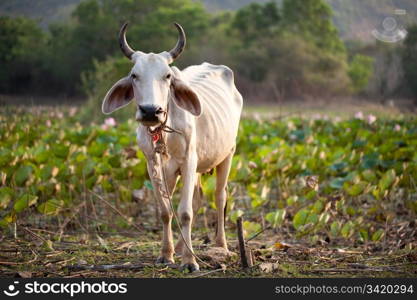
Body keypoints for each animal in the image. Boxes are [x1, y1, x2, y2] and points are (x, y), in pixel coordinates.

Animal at [101, 22, 244, 272]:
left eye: (167, 75)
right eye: (134, 75)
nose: (150, 111)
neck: (163, 133)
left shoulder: (189, 161)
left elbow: (185, 212)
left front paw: (189, 261)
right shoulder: (153, 165)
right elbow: (166, 212)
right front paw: (166, 254)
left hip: (227, 154)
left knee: (219, 196)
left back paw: (221, 245)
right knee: (197, 198)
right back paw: (179, 246)